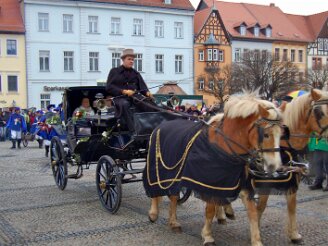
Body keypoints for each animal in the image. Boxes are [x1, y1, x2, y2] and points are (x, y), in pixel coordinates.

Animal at [145, 92, 284, 246]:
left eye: (281, 134)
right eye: (266, 134)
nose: (274, 167)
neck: (223, 144)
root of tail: (160, 126)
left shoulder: (239, 184)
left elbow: (252, 212)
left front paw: (256, 240)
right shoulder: (209, 183)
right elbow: (210, 210)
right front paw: (207, 236)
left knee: (174, 195)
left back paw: (173, 222)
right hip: (161, 170)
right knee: (157, 189)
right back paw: (154, 213)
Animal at [215, 89, 328, 244]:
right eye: (320, 112)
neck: (284, 144)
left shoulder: (291, 181)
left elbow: (291, 207)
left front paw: (294, 234)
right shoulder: (264, 182)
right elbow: (260, 207)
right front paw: (256, 231)